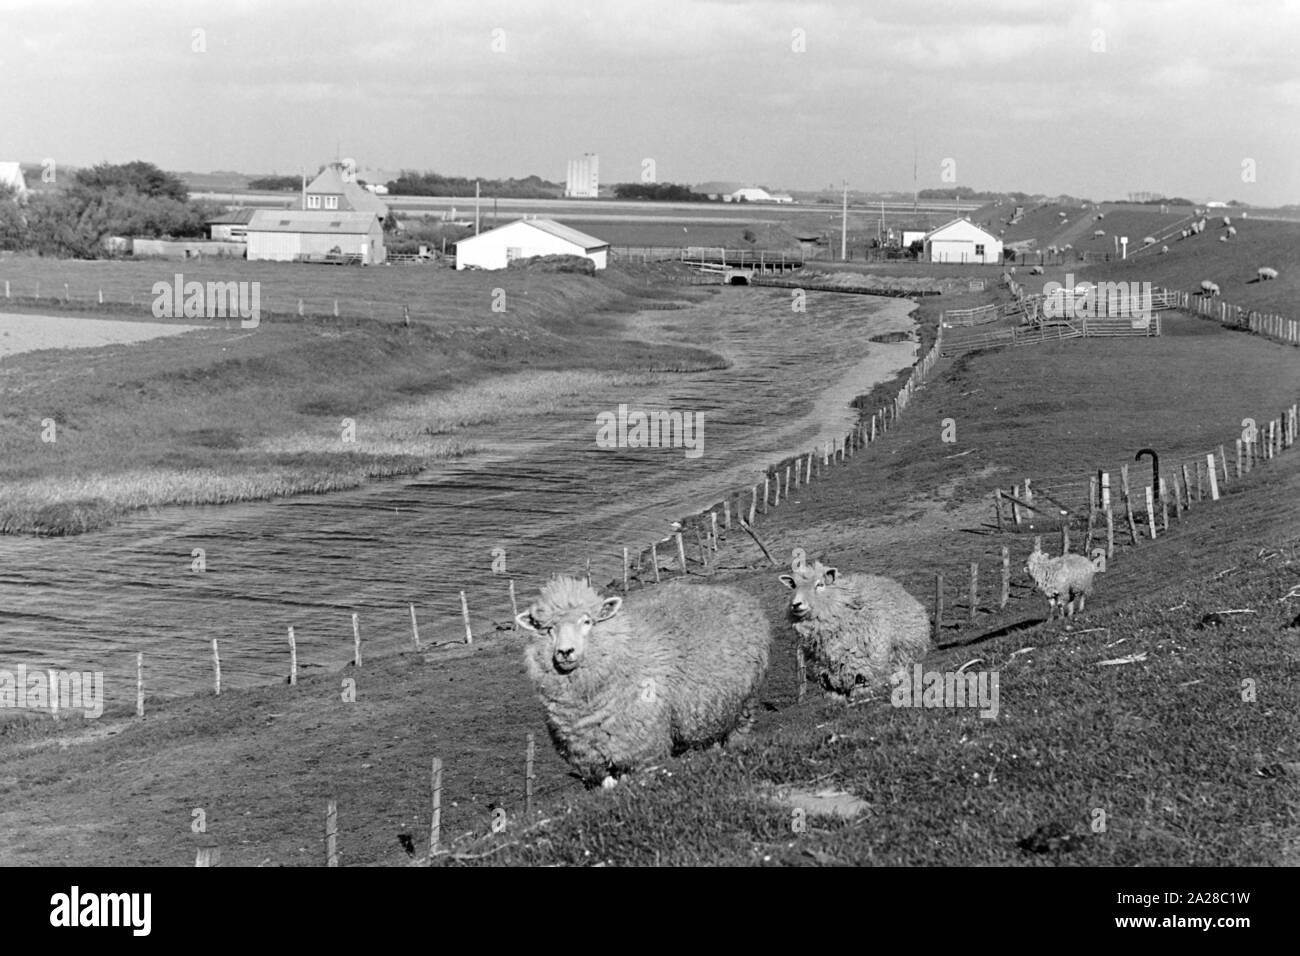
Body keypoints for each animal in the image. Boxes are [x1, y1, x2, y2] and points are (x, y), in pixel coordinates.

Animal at [512, 574, 769, 785]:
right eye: (548, 629)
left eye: (587, 622)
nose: (565, 652)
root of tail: (733, 592)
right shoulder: (592, 759)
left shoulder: (643, 750)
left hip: (745, 702)